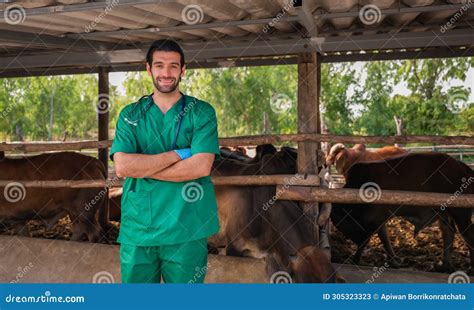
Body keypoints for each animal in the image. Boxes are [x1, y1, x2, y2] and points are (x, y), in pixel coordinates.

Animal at [332, 153, 472, 274]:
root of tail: (462, 166)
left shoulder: (374, 220)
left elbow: (367, 241)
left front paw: (355, 259)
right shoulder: (379, 219)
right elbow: (384, 238)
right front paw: (394, 261)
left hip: (461, 213)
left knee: (467, 235)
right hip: (444, 213)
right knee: (448, 232)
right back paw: (445, 265)